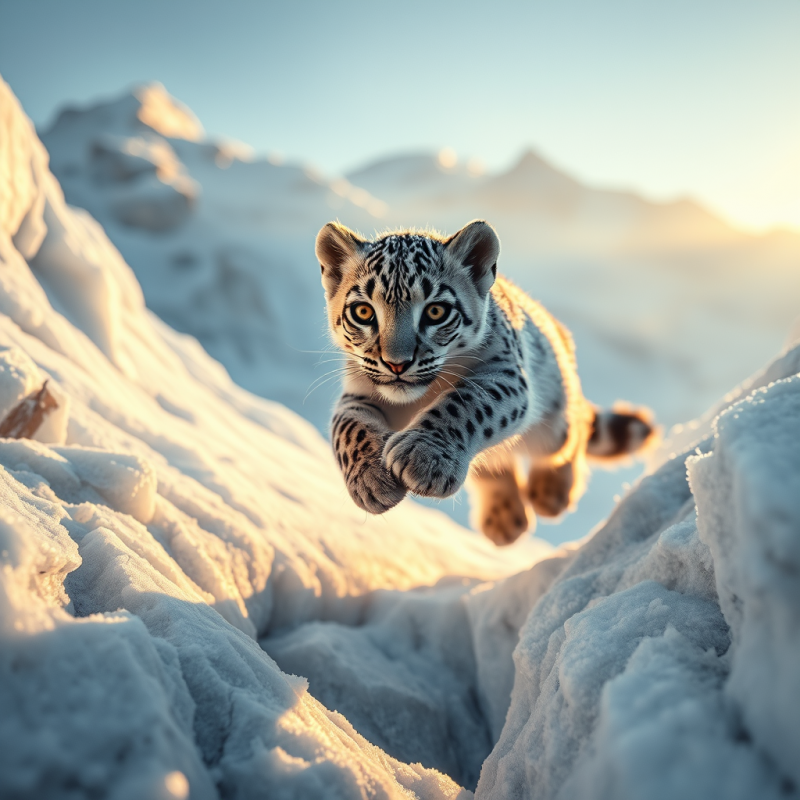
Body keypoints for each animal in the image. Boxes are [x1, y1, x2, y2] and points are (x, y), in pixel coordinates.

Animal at [315, 219, 657, 545]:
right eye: (363, 311)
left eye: (436, 311)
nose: (396, 363)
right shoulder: (358, 391)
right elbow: (348, 426)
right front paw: (370, 480)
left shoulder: (505, 374)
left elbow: (465, 404)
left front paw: (422, 456)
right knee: (495, 462)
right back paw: (505, 520)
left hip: (556, 424)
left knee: (575, 428)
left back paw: (550, 493)